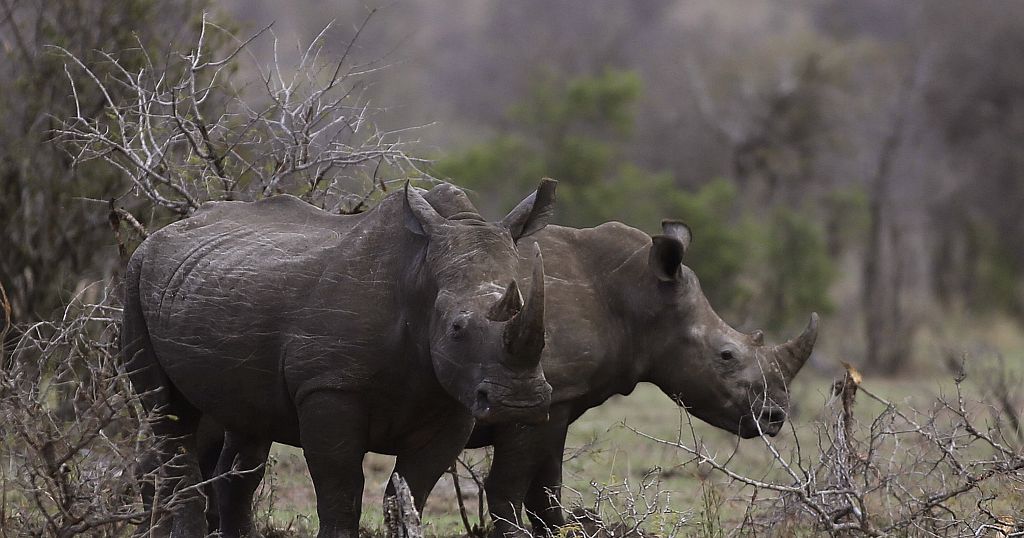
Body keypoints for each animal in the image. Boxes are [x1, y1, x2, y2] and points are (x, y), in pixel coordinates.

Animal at [121, 181, 557, 538]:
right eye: (456, 328)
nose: (520, 402)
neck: (420, 277)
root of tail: (161, 233)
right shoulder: (329, 386)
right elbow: (341, 492)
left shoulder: (454, 402)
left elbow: (409, 493)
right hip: (135, 275)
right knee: (167, 412)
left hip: (219, 285)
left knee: (246, 430)